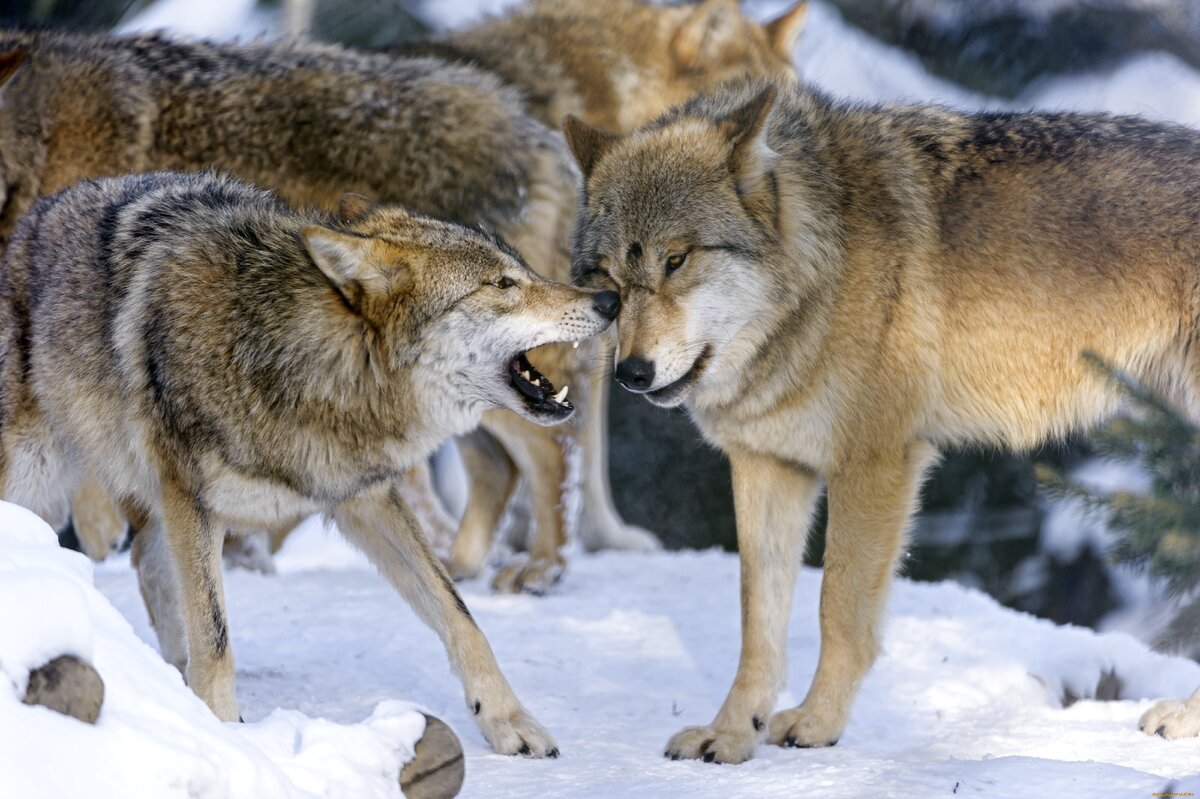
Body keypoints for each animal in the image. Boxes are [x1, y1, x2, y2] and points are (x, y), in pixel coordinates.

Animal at [0, 171, 619, 748]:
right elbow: (216, 639)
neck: (302, 361)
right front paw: (228, 738)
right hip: (37, 484)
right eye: (503, 284)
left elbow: (461, 615)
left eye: (524, 269)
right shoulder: (194, 504)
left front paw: (506, 720)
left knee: (147, 568)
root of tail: (31, 218)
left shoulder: (366, 499)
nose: (610, 300)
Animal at [566, 77, 1200, 763]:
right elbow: (757, 626)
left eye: (677, 260)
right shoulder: (767, 465)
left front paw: (817, 725)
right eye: (608, 279)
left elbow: (838, 611)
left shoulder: (876, 464)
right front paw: (732, 735)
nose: (631, 373)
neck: (821, 273)